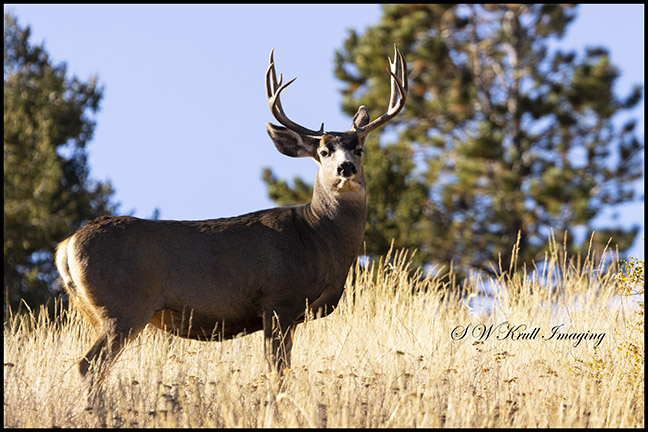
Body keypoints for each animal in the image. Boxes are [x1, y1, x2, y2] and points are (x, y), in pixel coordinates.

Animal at [55, 45, 407, 395]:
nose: (346, 168)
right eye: (323, 152)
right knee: (89, 365)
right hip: (122, 307)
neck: (316, 236)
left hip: (95, 312)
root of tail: (66, 245)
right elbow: (277, 371)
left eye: (359, 149)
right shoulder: (279, 300)